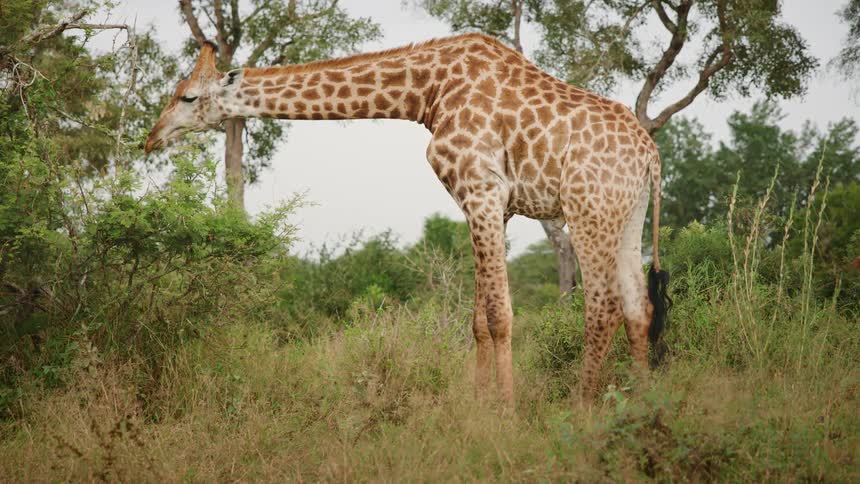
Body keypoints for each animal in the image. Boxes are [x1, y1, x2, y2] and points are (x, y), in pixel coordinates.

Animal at [145, 34, 671, 404]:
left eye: (187, 97)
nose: (151, 138)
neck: (428, 92)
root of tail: (651, 155)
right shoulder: (492, 204)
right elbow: (478, 319)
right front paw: (478, 409)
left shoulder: (482, 189)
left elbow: (500, 315)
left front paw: (505, 413)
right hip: (625, 216)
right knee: (638, 308)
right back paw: (643, 404)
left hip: (587, 209)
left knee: (602, 308)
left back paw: (582, 409)